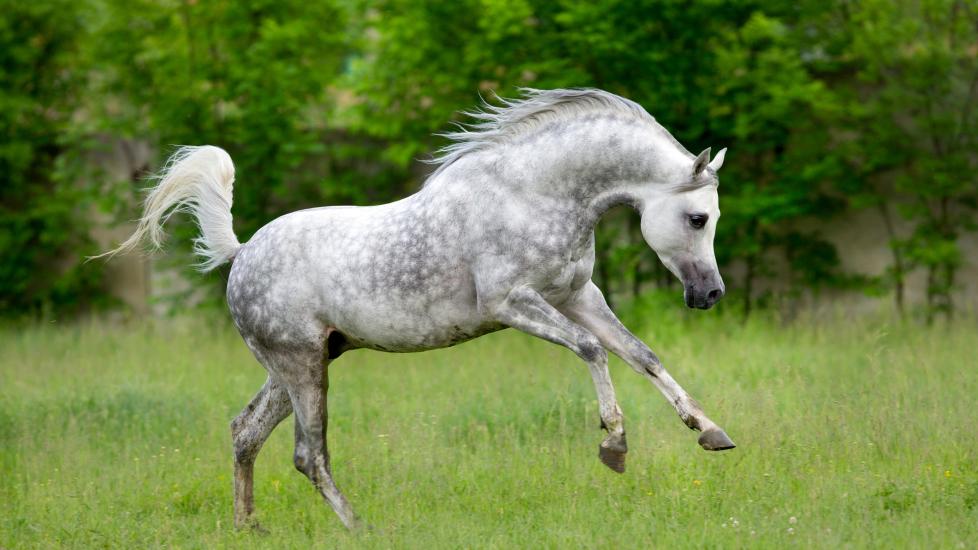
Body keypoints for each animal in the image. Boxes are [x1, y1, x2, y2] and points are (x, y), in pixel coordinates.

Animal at [103, 88, 736, 532]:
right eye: (698, 218)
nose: (710, 294)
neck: (534, 194)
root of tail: (240, 254)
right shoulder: (513, 303)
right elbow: (592, 351)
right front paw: (614, 446)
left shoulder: (577, 296)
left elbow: (641, 355)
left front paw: (711, 432)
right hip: (303, 367)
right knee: (309, 455)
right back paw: (359, 528)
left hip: (299, 365)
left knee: (244, 434)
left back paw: (248, 527)